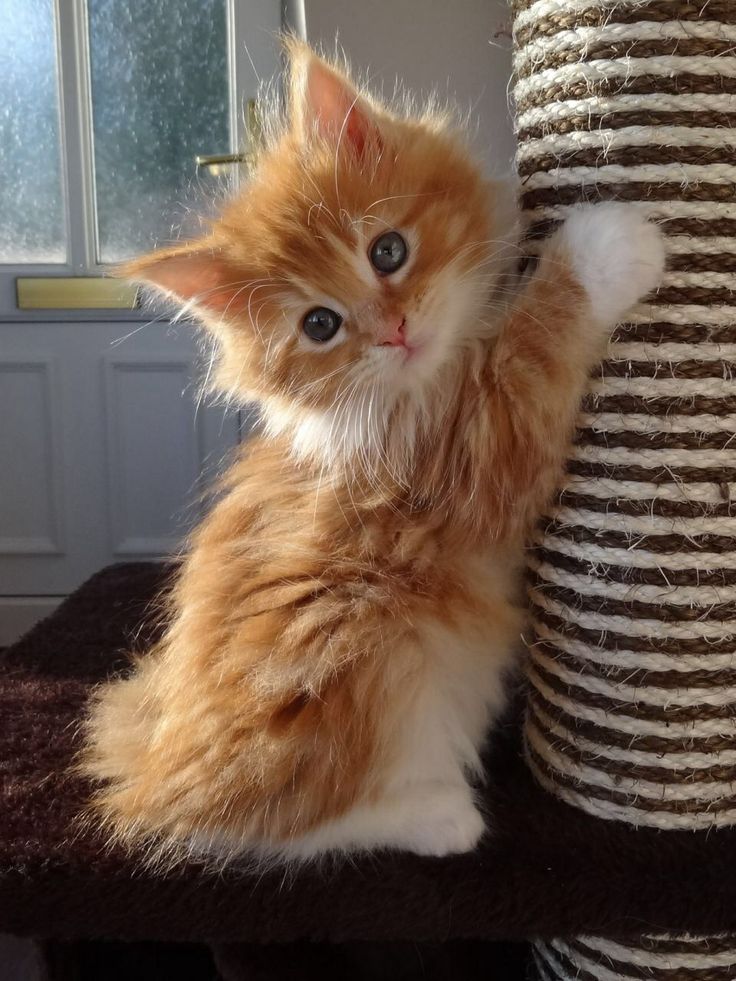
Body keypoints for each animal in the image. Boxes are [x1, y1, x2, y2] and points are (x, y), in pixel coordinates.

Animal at [82, 42, 668, 860]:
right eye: (321, 325)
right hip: (359, 629)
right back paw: (437, 815)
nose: (393, 331)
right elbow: (534, 340)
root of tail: (154, 762)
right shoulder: (474, 453)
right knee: (259, 820)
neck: (435, 378)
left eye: (388, 251)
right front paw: (606, 245)